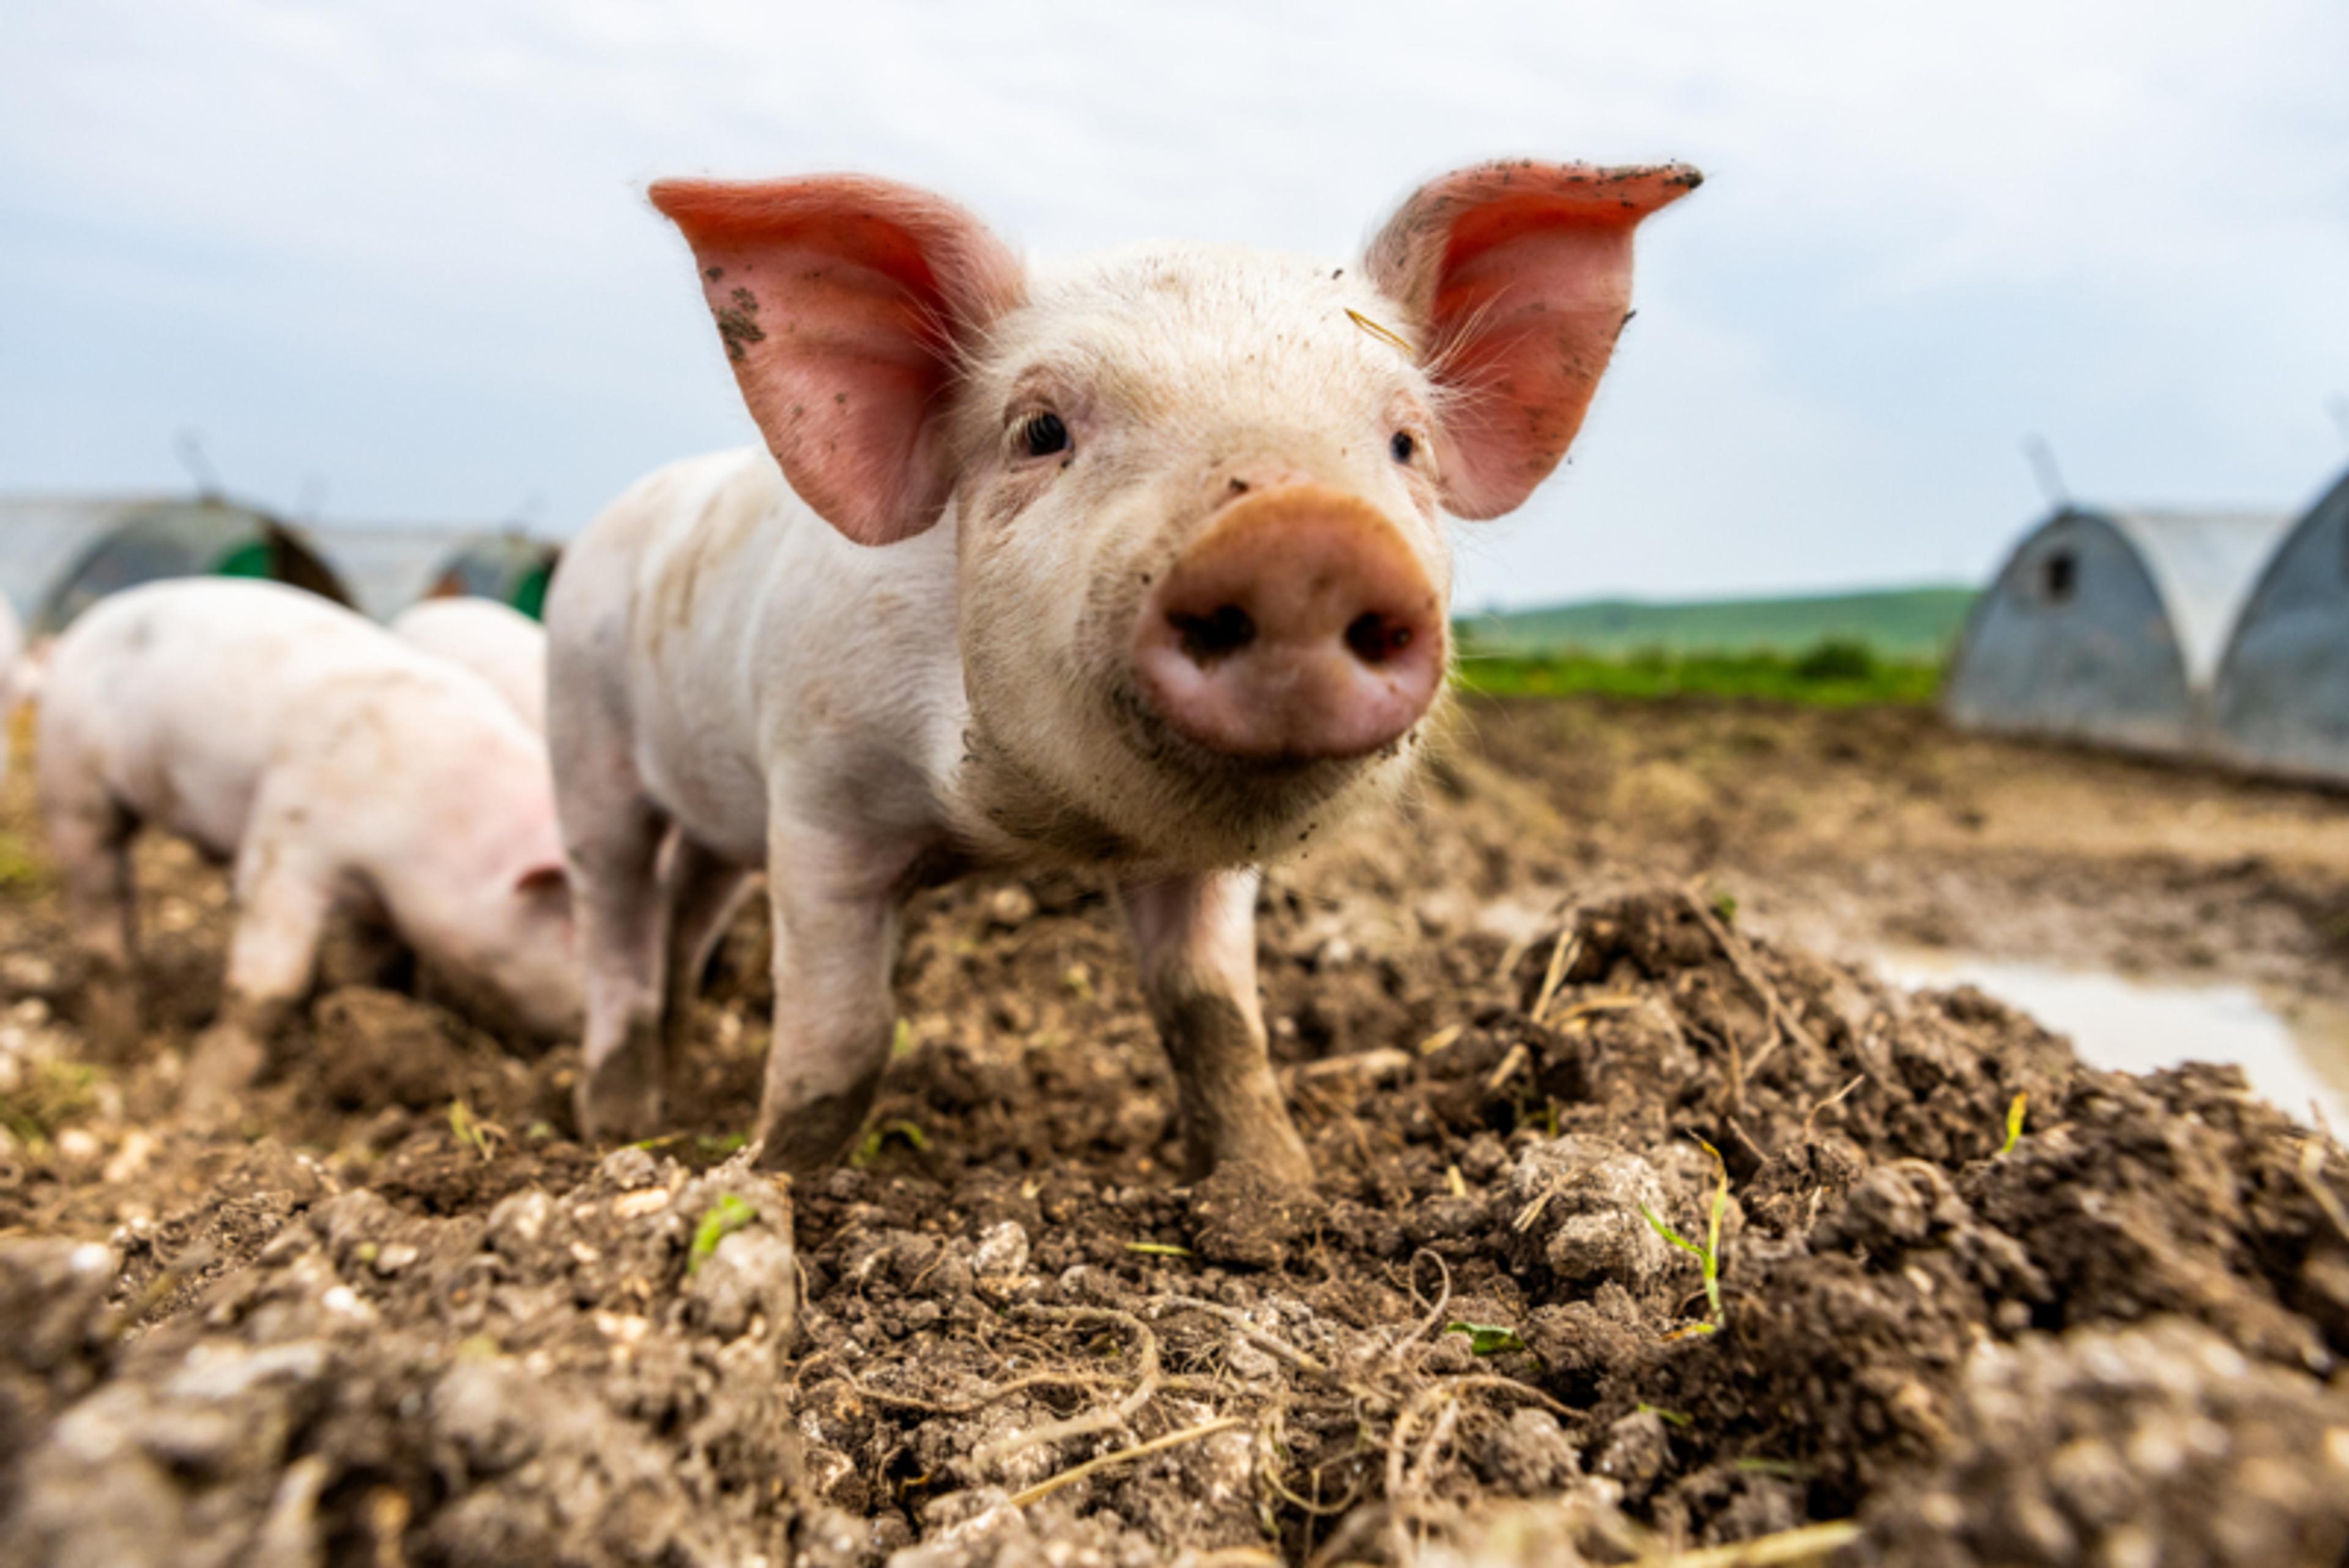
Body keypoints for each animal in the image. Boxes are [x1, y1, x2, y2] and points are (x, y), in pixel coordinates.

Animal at [548, 160, 1696, 1183]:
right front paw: (764, 1175)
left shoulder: (1209, 862)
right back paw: (620, 1118)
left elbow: (1216, 1012)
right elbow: (845, 1032)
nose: (1304, 536)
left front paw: (1279, 1196)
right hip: (583, 735)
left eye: (1406, 442)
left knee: (690, 898)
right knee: (614, 910)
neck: (1027, 831)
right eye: (1040, 430)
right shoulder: (819, 790)